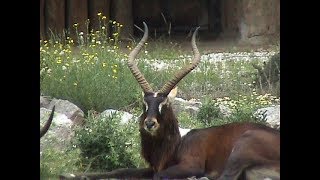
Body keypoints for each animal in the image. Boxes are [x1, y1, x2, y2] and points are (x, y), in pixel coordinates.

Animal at [60, 22, 280, 180]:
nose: (149, 123)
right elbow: (119, 170)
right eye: (145, 103)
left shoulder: (189, 165)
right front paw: (68, 174)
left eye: (164, 104)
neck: (179, 142)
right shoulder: (151, 167)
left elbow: (158, 176)